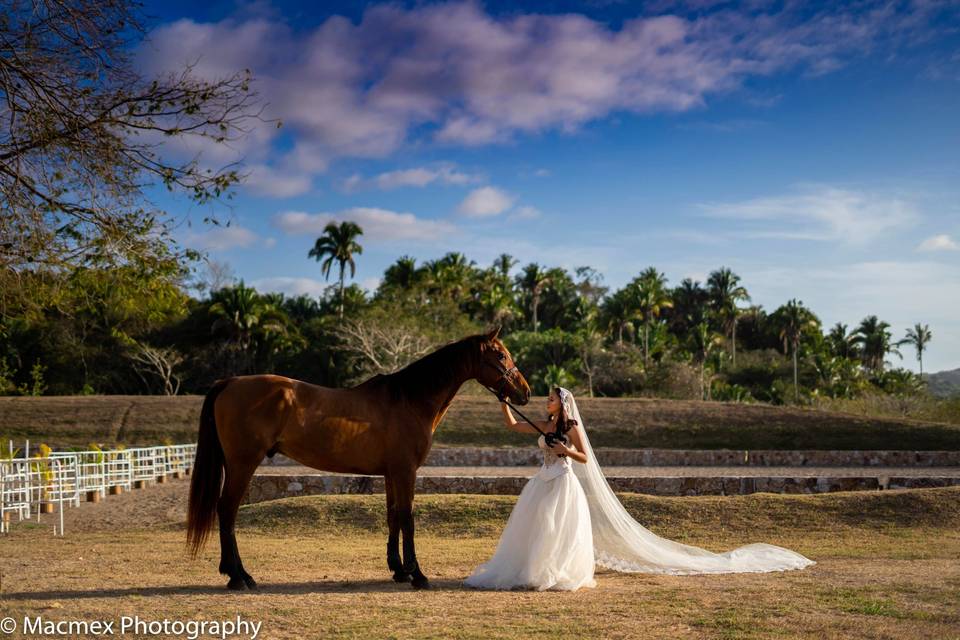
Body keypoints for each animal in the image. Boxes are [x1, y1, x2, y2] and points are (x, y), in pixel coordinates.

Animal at [186, 330, 532, 592]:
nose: (525, 393)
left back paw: (235, 573)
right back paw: (239, 576)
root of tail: (230, 382)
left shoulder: (391, 473)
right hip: (243, 464)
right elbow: (408, 517)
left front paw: (399, 570)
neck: (409, 400)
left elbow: (393, 516)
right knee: (227, 511)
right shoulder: (406, 471)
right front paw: (417, 574)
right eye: (501, 355)